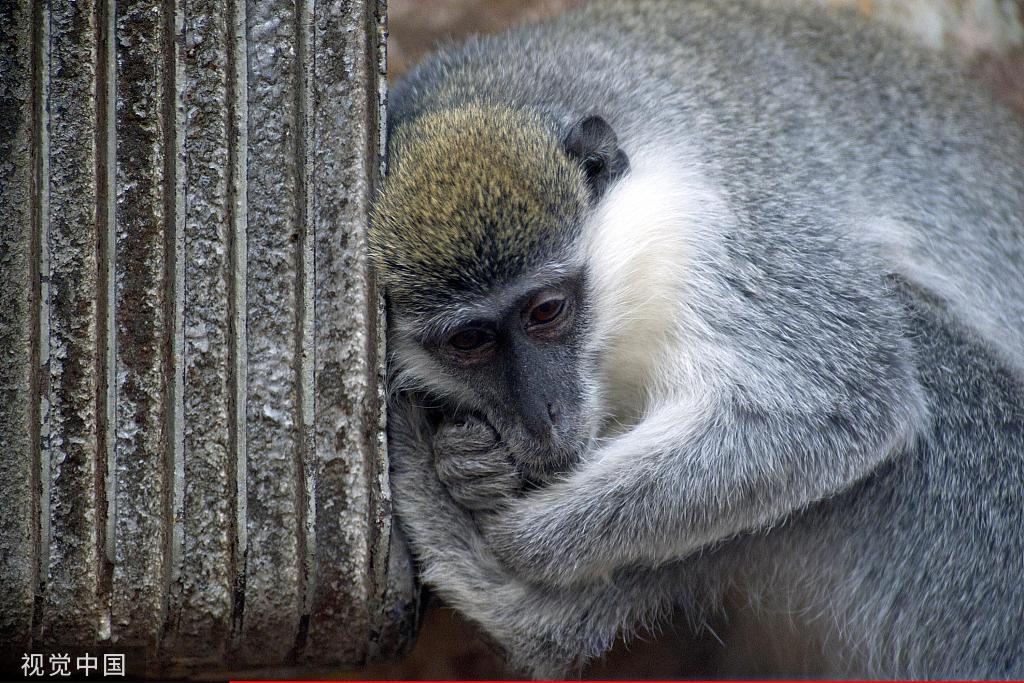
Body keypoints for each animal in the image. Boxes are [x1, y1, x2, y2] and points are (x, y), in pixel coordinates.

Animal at [368, 0, 1024, 675]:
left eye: (546, 311)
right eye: (469, 341)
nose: (542, 414)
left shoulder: (732, 231)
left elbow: (846, 402)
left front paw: (519, 531)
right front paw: (466, 464)